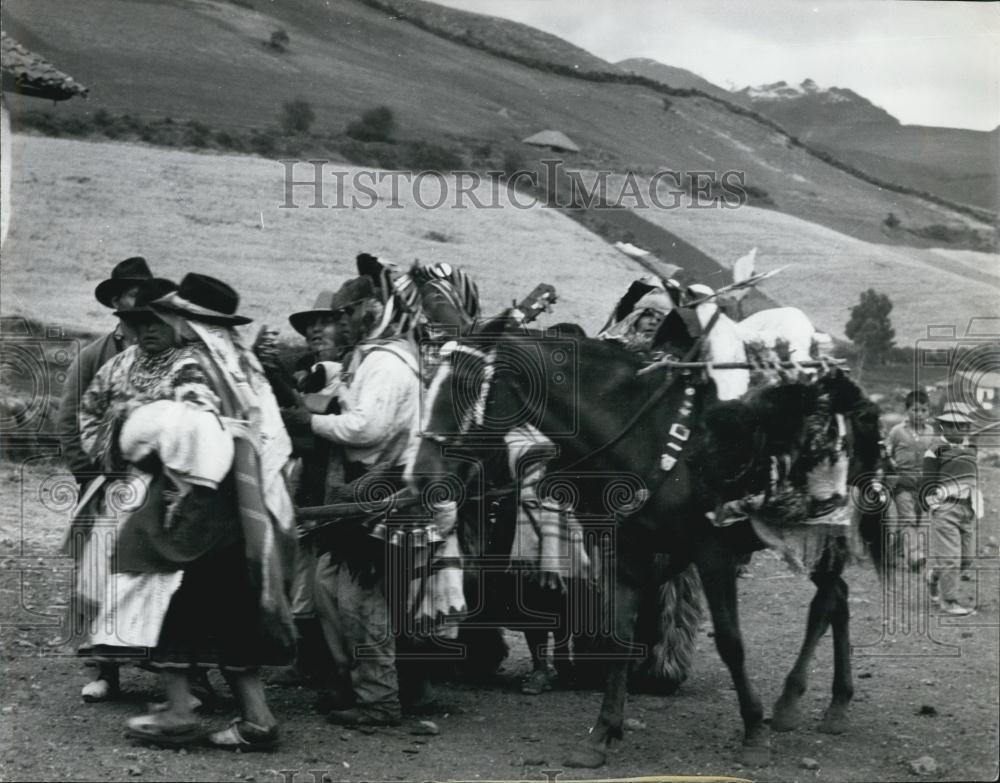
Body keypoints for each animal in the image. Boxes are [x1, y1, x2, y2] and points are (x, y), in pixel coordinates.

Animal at [406, 320, 884, 772]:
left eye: (465, 385)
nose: (422, 475)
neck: (653, 440)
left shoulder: (713, 554)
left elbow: (731, 642)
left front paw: (752, 734)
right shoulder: (626, 552)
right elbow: (620, 637)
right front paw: (601, 736)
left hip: (825, 530)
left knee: (826, 601)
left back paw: (794, 704)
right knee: (838, 598)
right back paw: (831, 704)